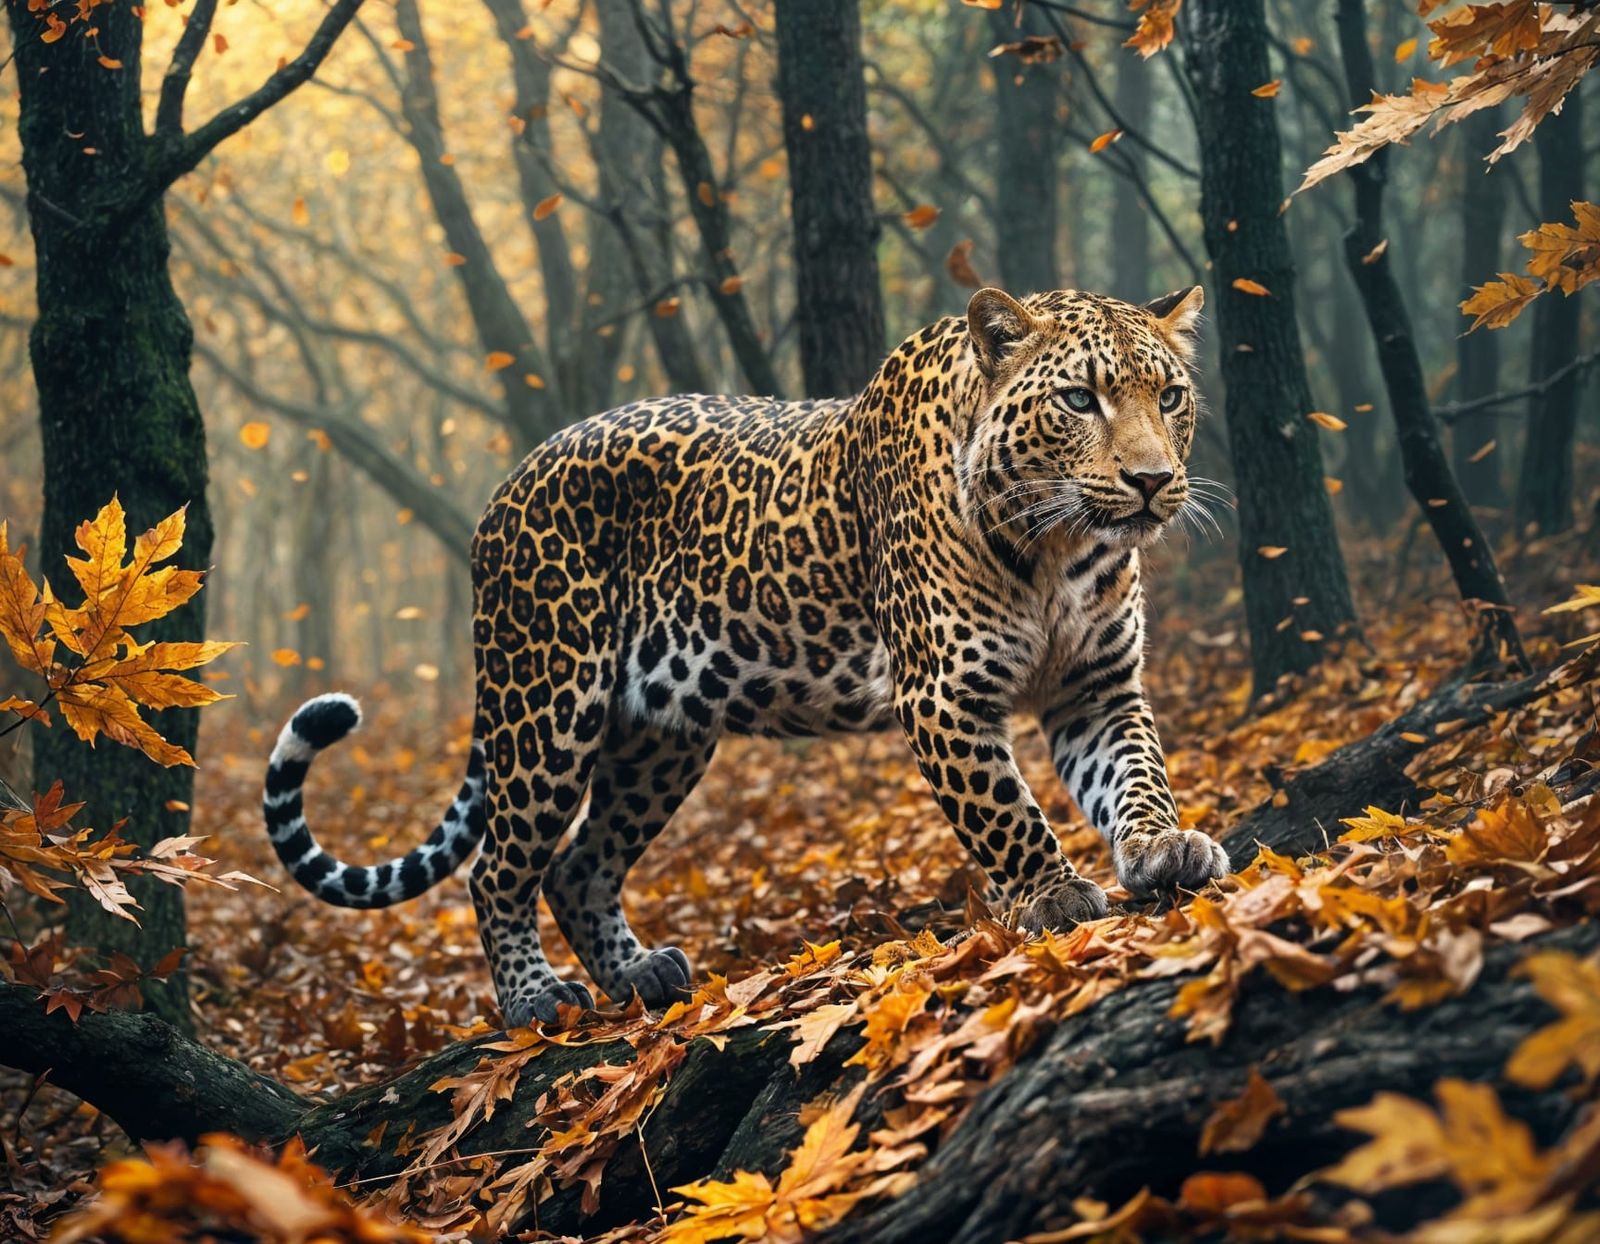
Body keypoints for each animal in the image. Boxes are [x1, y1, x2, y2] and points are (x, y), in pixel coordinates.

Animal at [262, 284, 1230, 1026]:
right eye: (1080, 401)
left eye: (1170, 397)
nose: (1152, 481)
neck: (1061, 550)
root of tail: (504, 489)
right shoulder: (942, 695)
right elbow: (1005, 811)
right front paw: (1053, 894)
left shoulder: (1097, 688)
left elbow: (1136, 774)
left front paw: (1163, 847)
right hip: (548, 702)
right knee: (499, 867)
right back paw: (535, 998)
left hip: (661, 738)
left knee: (578, 868)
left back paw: (638, 974)